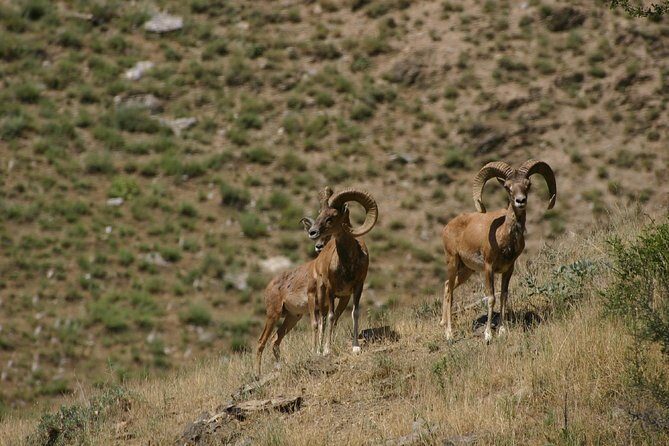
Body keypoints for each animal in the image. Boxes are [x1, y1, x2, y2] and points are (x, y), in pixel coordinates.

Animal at [305, 186, 378, 355]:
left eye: (332, 217)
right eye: (320, 213)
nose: (312, 232)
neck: (347, 265)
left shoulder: (357, 288)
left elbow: (354, 313)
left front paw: (356, 347)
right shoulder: (331, 290)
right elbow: (330, 317)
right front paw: (327, 350)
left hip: (343, 299)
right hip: (321, 294)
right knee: (322, 319)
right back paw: (318, 350)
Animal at [441, 159, 556, 343]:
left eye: (528, 184)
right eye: (508, 187)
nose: (520, 200)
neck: (504, 236)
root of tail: (447, 227)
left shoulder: (508, 270)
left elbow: (503, 296)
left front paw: (502, 331)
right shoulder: (489, 269)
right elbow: (491, 298)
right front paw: (488, 335)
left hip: (467, 271)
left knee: (446, 286)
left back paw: (443, 324)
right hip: (452, 262)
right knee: (450, 292)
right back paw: (449, 334)